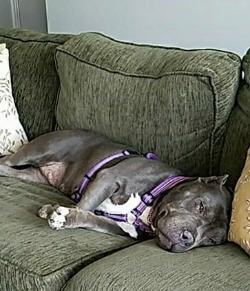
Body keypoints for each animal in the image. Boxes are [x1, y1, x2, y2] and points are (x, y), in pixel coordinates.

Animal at [0, 130, 231, 253]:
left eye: (211, 241)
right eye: (200, 206)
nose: (187, 239)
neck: (149, 207)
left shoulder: (121, 228)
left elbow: (90, 217)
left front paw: (65, 215)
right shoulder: (108, 178)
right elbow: (84, 205)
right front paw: (58, 213)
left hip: (32, 174)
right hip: (39, 151)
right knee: (5, 161)